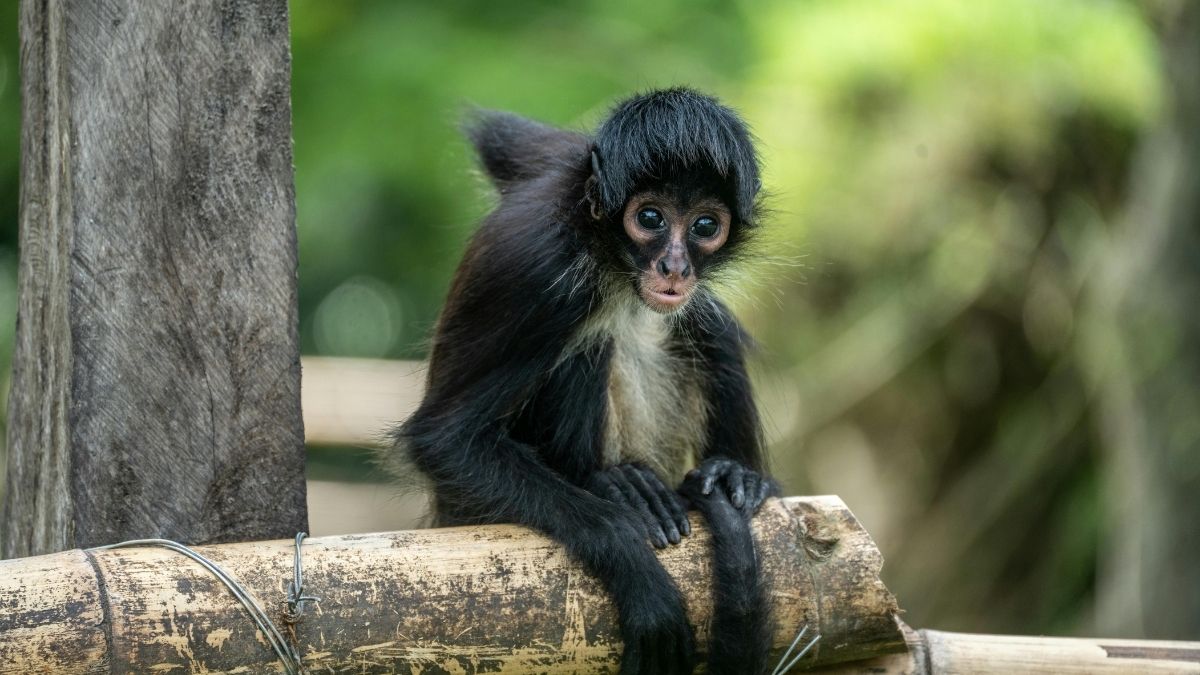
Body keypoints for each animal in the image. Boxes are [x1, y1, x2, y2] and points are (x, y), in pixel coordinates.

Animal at [389, 88, 777, 675]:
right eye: (649, 217)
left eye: (706, 227)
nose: (675, 267)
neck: (601, 247)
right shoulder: (539, 271)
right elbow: (444, 439)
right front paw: (635, 569)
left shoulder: (566, 158)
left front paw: (737, 474)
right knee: (592, 344)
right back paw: (612, 484)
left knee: (704, 320)